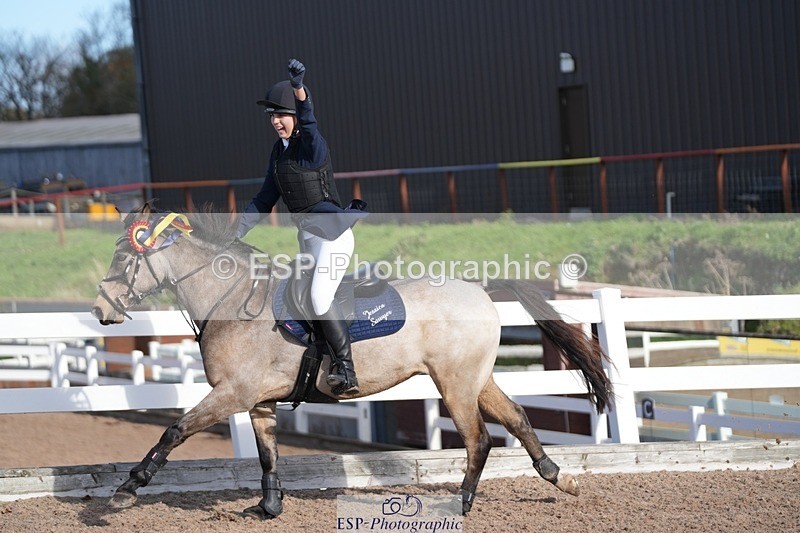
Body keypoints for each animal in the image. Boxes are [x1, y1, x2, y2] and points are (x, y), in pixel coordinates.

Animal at [91, 203, 613, 519]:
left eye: (123, 258)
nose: (100, 309)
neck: (232, 300)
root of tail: (481, 289)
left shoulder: (231, 393)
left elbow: (174, 431)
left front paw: (126, 489)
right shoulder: (258, 401)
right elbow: (267, 453)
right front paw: (269, 506)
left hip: (454, 383)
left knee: (479, 439)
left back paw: (462, 503)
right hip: (476, 379)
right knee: (519, 418)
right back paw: (560, 479)